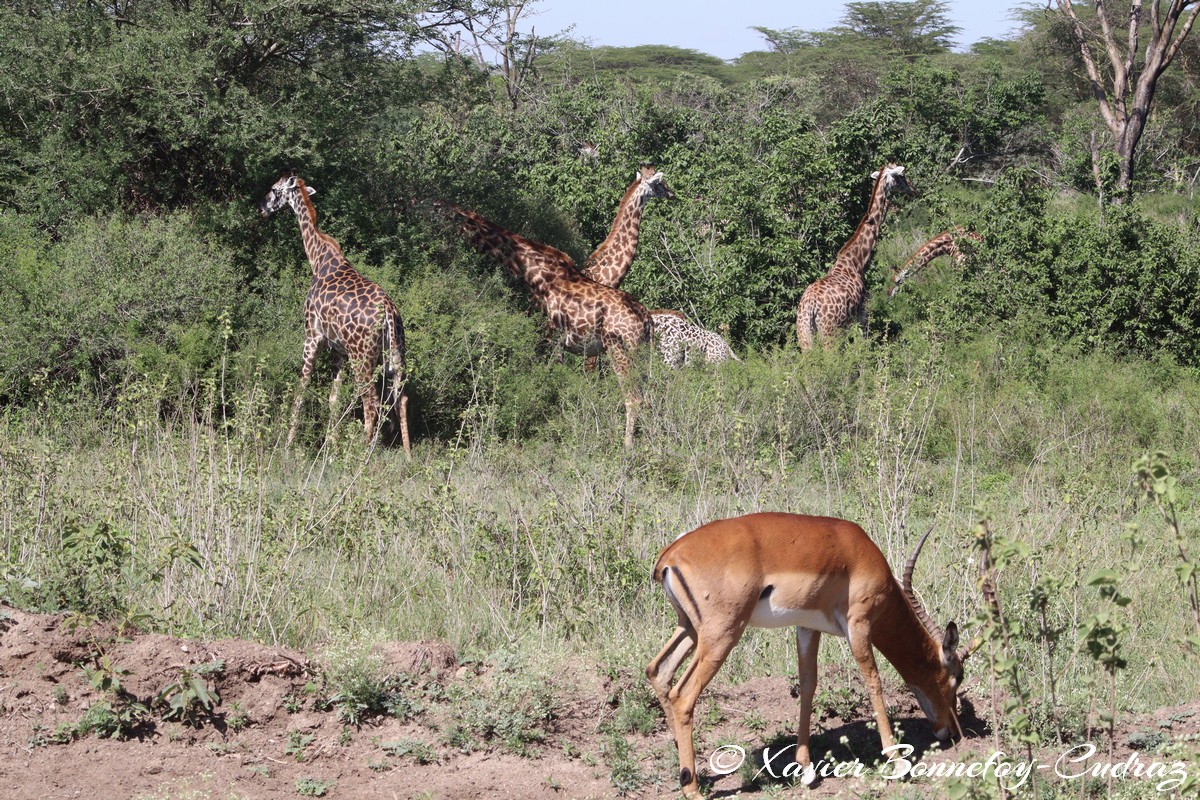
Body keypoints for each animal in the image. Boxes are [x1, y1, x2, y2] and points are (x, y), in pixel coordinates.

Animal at [258, 173, 412, 455]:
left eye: (274, 189)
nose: (261, 208)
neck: (317, 258)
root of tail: (388, 312)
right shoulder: (337, 349)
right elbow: (333, 398)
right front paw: (330, 447)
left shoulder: (312, 336)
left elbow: (301, 390)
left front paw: (287, 444)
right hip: (395, 354)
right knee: (400, 397)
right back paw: (407, 455)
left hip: (362, 357)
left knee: (371, 401)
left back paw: (362, 452)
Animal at [448, 203, 652, 448]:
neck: (532, 270)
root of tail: (647, 320)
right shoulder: (556, 342)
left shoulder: (552, 339)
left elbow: (549, 382)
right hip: (641, 353)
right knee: (650, 395)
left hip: (619, 348)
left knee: (634, 397)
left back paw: (627, 446)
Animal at [648, 515, 974, 796]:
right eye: (957, 677)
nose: (953, 731)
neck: (857, 552)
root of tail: (670, 556)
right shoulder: (859, 625)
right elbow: (874, 683)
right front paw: (898, 763)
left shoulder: (807, 627)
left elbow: (808, 685)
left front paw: (805, 770)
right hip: (722, 635)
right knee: (682, 695)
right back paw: (691, 788)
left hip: (690, 629)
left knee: (657, 670)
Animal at [796, 164, 916, 347]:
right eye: (902, 175)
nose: (913, 189)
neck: (857, 262)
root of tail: (811, 306)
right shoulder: (862, 316)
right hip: (830, 333)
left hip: (804, 334)